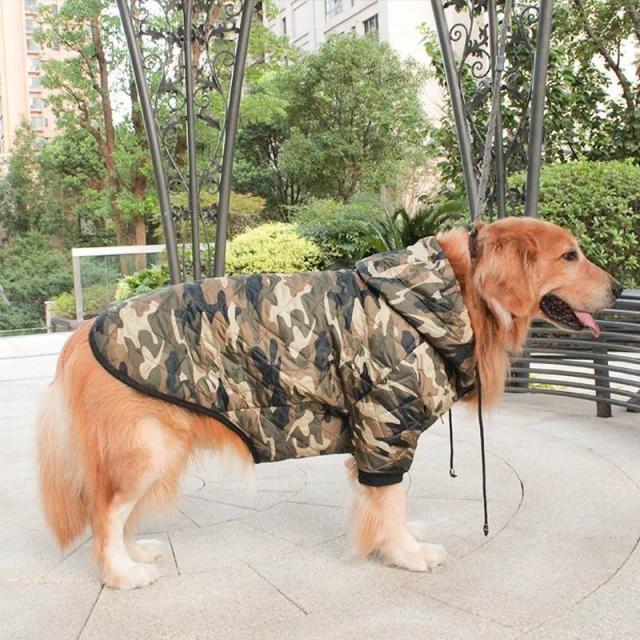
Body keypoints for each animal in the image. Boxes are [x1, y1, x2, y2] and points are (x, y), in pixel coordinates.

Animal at [37, 217, 621, 589]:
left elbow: (379, 504)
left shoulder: (374, 435)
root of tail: (81, 331)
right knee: (104, 515)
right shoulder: (386, 425)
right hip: (145, 451)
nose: (618, 288)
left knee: (115, 516)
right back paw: (122, 573)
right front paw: (406, 555)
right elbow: (391, 501)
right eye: (570, 255)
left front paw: (389, 545)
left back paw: (134, 552)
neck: (448, 295)